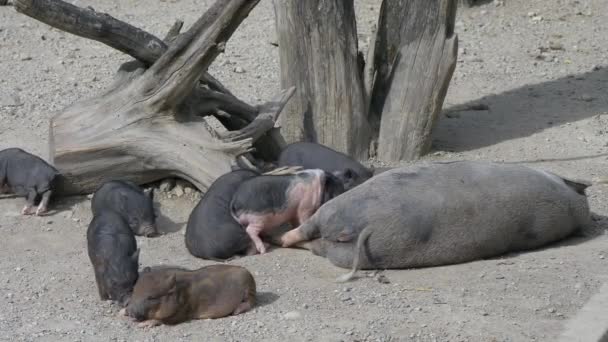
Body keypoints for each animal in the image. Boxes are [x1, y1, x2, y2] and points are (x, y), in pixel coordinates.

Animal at [123, 264, 256, 326]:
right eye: (134, 290)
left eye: (152, 297)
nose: (131, 312)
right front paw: (122, 312)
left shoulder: (183, 313)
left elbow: (164, 320)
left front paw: (144, 324)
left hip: (249, 288)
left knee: (250, 302)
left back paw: (236, 311)